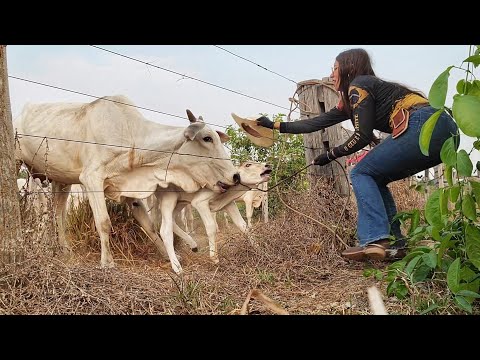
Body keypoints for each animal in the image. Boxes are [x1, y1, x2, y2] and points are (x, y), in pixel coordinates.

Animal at [15, 94, 240, 272]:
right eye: (207, 138)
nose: (235, 176)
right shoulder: (91, 179)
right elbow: (104, 222)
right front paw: (107, 262)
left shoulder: (132, 191)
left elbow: (149, 226)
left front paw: (169, 256)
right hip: (20, 163)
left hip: (62, 181)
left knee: (58, 213)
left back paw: (64, 249)